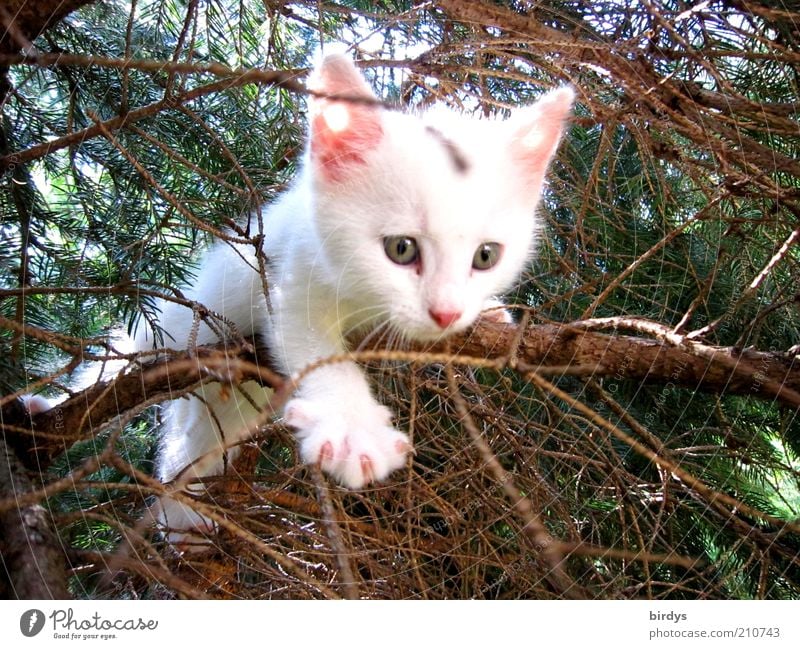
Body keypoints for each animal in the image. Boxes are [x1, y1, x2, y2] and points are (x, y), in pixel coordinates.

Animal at [139, 52, 576, 540]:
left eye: (486, 256)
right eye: (401, 249)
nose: (446, 313)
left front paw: (487, 313)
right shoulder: (293, 277)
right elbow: (316, 349)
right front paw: (353, 428)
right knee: (182, 444)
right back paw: (182, 517)